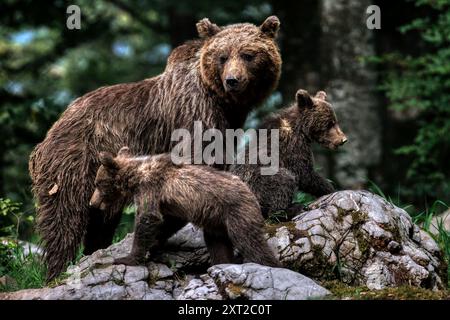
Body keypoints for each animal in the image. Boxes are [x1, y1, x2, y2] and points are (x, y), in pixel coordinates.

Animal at [29, 16, 282, 278]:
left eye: (248, 55)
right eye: (222, 56)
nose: (232, 80)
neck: (223, 102)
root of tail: (52, 129)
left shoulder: (227, 126)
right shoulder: (195, 114)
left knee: (101, 218)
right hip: (74, 161)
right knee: (65, 219)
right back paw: (58, 269)